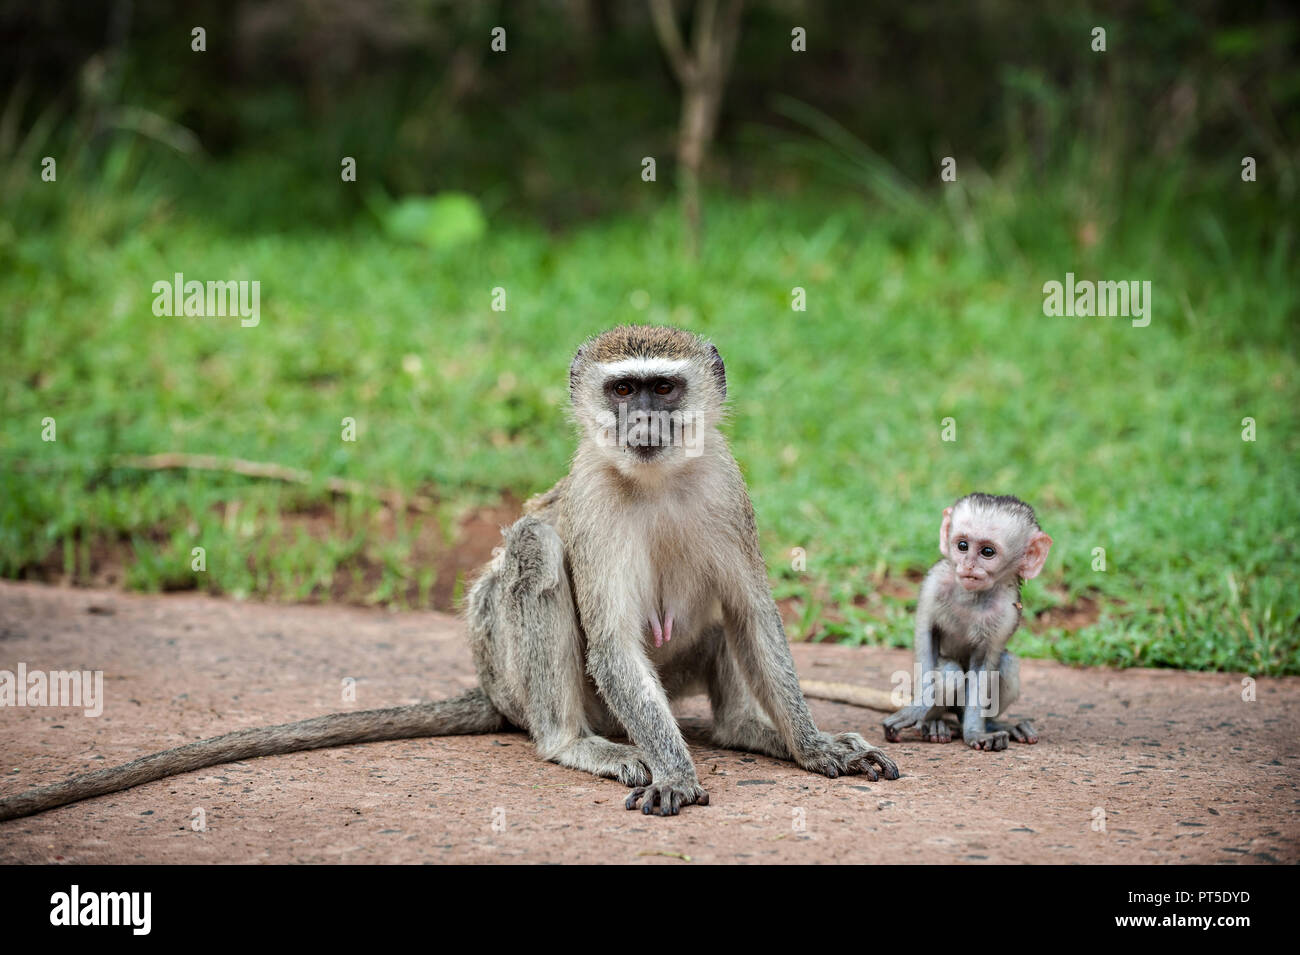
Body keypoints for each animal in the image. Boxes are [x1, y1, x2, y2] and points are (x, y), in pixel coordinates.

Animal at [883, 496, 1055, 748]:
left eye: (987, 551)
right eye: (962, 546)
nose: (968, 566)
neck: (972, 596)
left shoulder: (1007, 610)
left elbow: (984, 664)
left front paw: (975, 732)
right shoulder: (935, 581)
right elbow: (926, 636)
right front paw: (919, 708)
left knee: (1007, 664)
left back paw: (990, 725)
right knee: (950, 672)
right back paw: (932, 723)